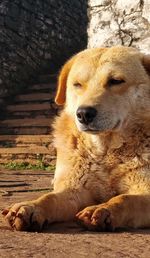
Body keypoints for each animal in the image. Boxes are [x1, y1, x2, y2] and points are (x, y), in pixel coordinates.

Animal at [2, 46, 150, 232]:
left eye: (116, 81)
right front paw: (30, 206)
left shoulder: (144, 190)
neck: (105, 152)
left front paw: (104, 209)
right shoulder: (74, 190)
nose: (84, 114)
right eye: (77, 84)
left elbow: (125, 199)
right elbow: (49, 198)